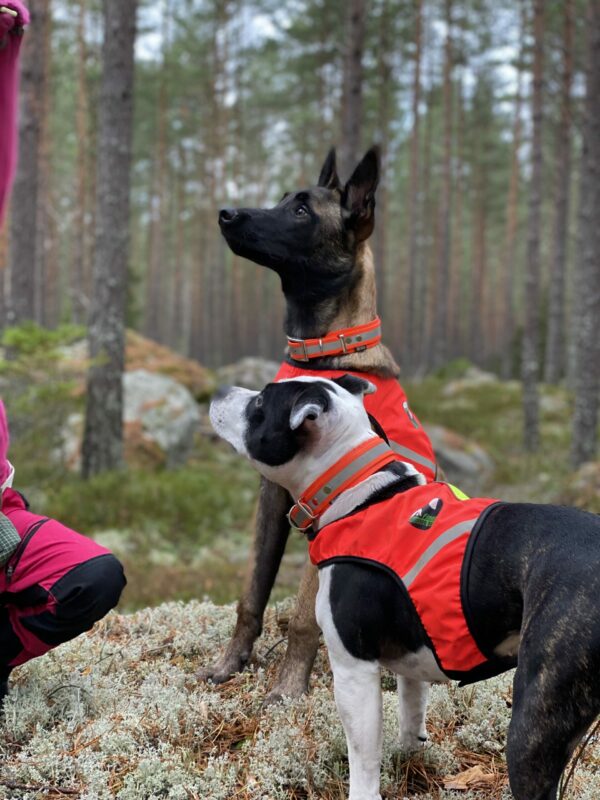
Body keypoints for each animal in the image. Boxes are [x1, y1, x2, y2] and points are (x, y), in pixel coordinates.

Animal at [212, 376, 600, 800]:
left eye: (261, 402)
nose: (220, 389)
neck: (357, 492)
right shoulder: (412, 666)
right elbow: (411, 719)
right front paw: (410, 764)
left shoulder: (353, 671)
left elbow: (364, 759)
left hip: (532, 725)